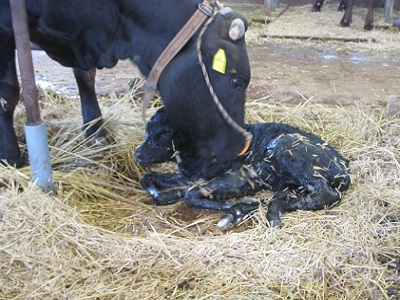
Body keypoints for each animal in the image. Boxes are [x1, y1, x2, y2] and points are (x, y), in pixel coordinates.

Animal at [0, 0, 250, 169]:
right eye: (236, 82)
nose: (241, 147)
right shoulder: (7, 27)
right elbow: (9, 90)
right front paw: (10, 155)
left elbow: (85, 76)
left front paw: (96, 131)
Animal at [136, 109, 352, 229]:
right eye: (147, 130)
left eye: (164, 133)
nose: (137, 153)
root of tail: (344, 166)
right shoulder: (188, 176)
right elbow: (149, 177)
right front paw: (166, 196)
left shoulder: (236, 174)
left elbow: (190, 195)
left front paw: (236, 204)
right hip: (287, 183)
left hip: (285, 149)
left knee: (327, 193)